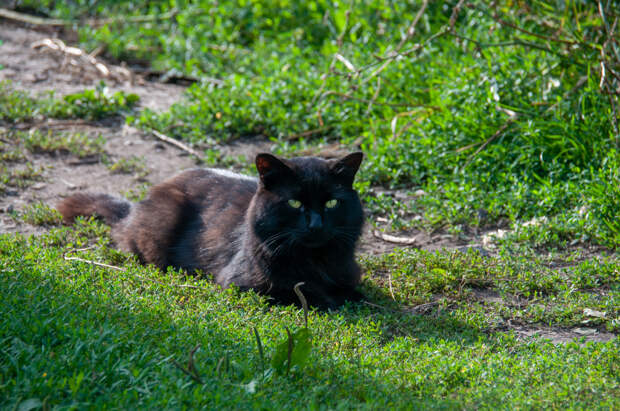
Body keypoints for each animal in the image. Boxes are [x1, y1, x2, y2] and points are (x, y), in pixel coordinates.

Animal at [57, 153, 364, 310]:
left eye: (332, 203)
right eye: (294, 203)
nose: (315, 224)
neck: (315, 261)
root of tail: (133, 209)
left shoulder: (348, 274)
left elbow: (351, 291)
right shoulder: (244, 285)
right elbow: (303, 294)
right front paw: (328, 299)